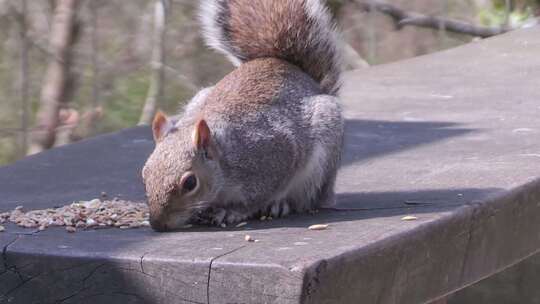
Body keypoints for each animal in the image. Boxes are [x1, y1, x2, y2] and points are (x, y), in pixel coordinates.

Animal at [142, 0, 346, 230]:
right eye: (144, 175)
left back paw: (281, 205)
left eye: (190, 183)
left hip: (321, 160)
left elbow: (258, 197)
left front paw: (234, 212)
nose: (157, 223)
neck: (224, 158)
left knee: (307, 198)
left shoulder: (272, 155)